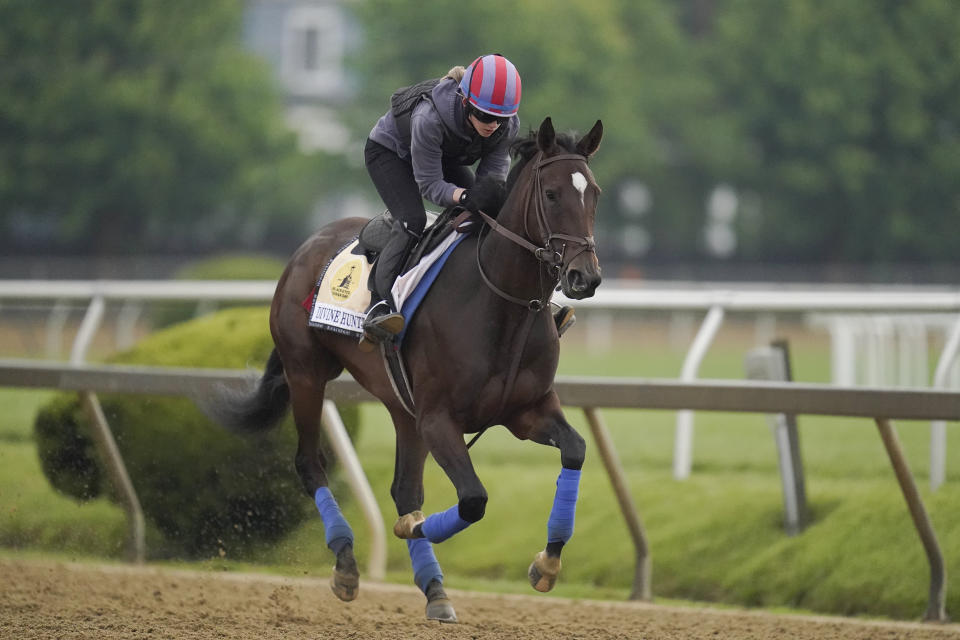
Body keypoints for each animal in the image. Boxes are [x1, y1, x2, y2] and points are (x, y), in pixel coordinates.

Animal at [215, 117, 604, 624]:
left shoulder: (528, 410)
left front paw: (547, 562)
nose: (585, 277)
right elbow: (473, 500)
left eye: (594, 193)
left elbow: (575, 450)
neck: (500, 305)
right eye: (553, 194)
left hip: (401, 406)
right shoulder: (439, 419)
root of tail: (305, 249)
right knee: (310, 463)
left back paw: (434, 588)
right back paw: (346, 562)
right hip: (306, 374)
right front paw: (408, 532)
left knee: (404, 488)